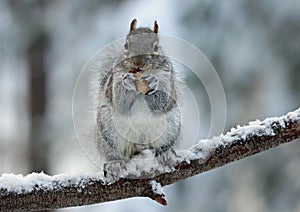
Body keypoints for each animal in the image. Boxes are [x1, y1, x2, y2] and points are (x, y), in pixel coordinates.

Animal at [95, 18, 182, 174]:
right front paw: (128, 82)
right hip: (108, 130)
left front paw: (153, 82)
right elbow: (120, 103)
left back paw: (165, 153)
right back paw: (115, 163)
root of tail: (140, 145)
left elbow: (162, 102)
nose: (138, 63)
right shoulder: (116, 77)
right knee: (115, 152)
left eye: (156, 47)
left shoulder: (167, 78)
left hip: (172, 126)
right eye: (126, 45)